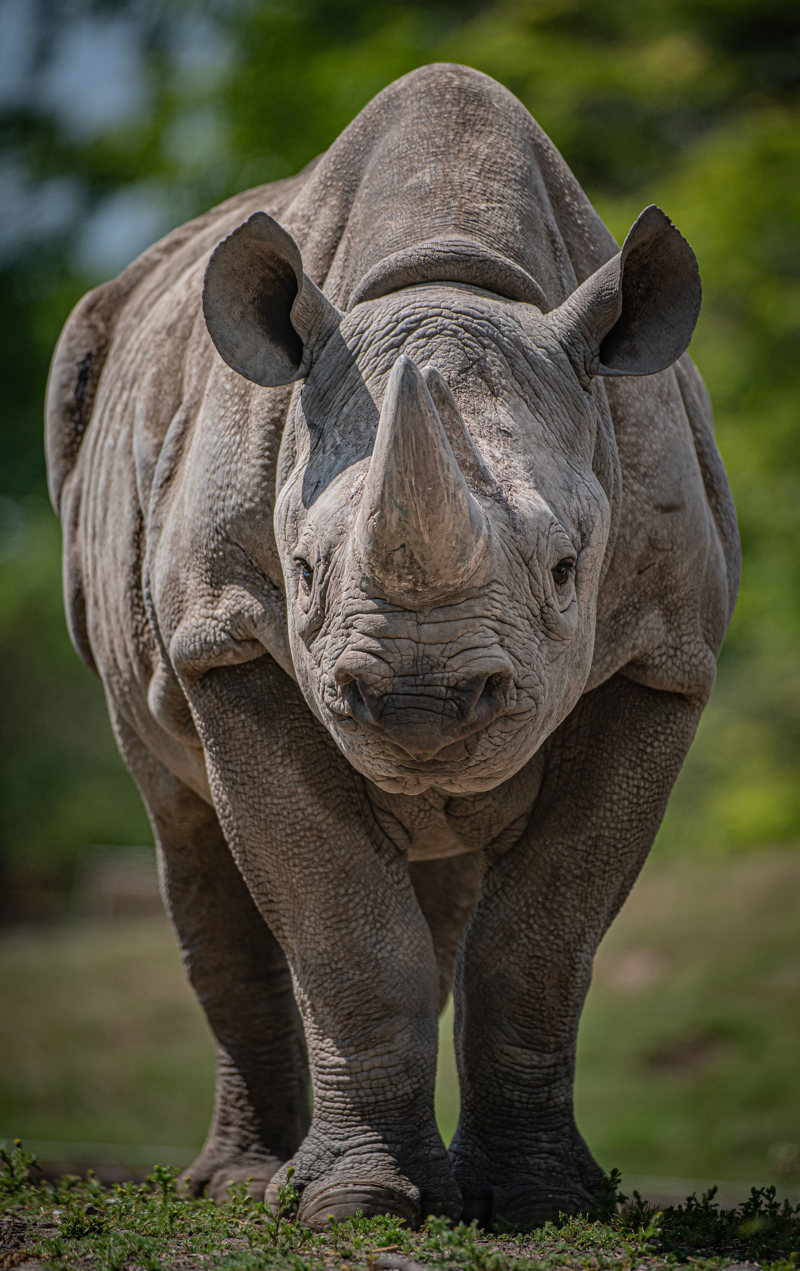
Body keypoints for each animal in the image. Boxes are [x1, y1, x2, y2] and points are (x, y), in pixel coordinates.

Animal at [46, 63, 738, 1229]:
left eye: (567, 570)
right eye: (303, 572)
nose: (420, 704)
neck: (452, 281)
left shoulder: (663, 656)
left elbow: (542, 936)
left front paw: (539, 1201)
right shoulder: (228, 638)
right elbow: (339, 923)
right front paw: (357, 1204)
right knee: (182, 818)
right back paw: (237, 1183)